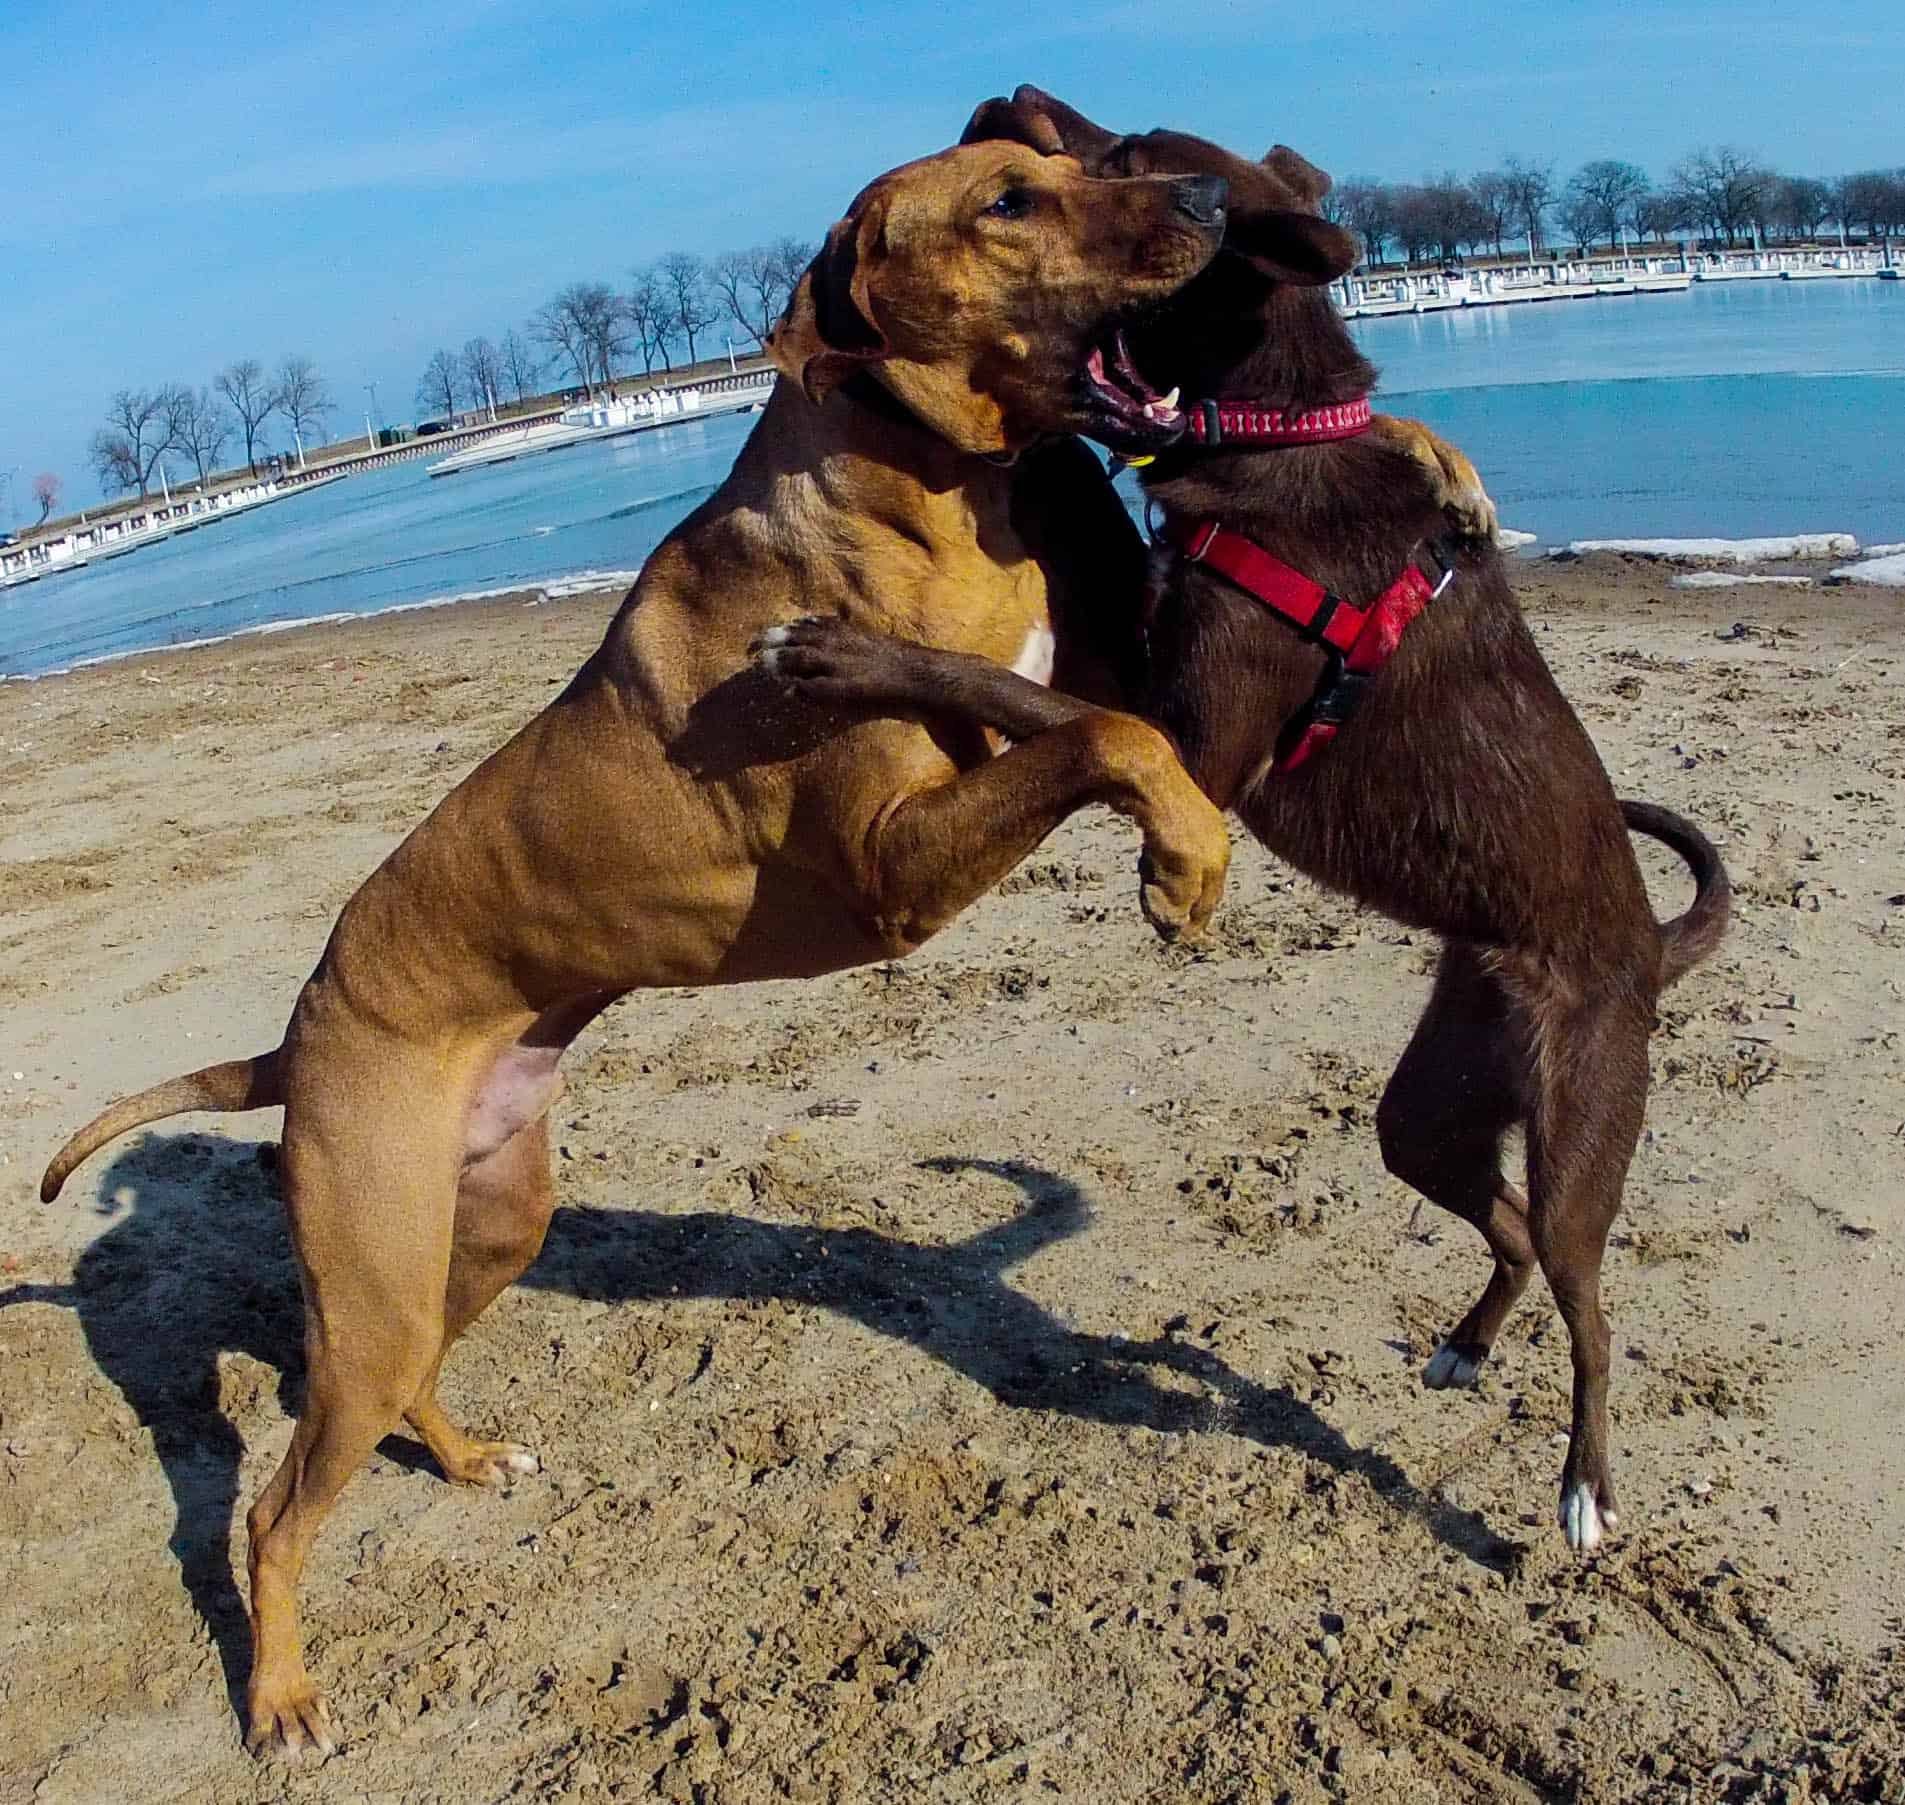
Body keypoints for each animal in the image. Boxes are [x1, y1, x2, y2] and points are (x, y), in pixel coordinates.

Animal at [754, 88, 1729, 1553]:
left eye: (1125, 155)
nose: (1004, 95)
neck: (1280, 437)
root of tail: (1648, 946)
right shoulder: (1138, 655)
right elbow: (1054, 667)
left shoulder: (1200, 749)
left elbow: (1010, 691)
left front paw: (843, 655)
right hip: (1426, 1109)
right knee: (1500, 1228)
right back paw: (1464, 1343)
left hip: (1579, 1125)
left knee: (1589, 1299)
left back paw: (1582, 1489)